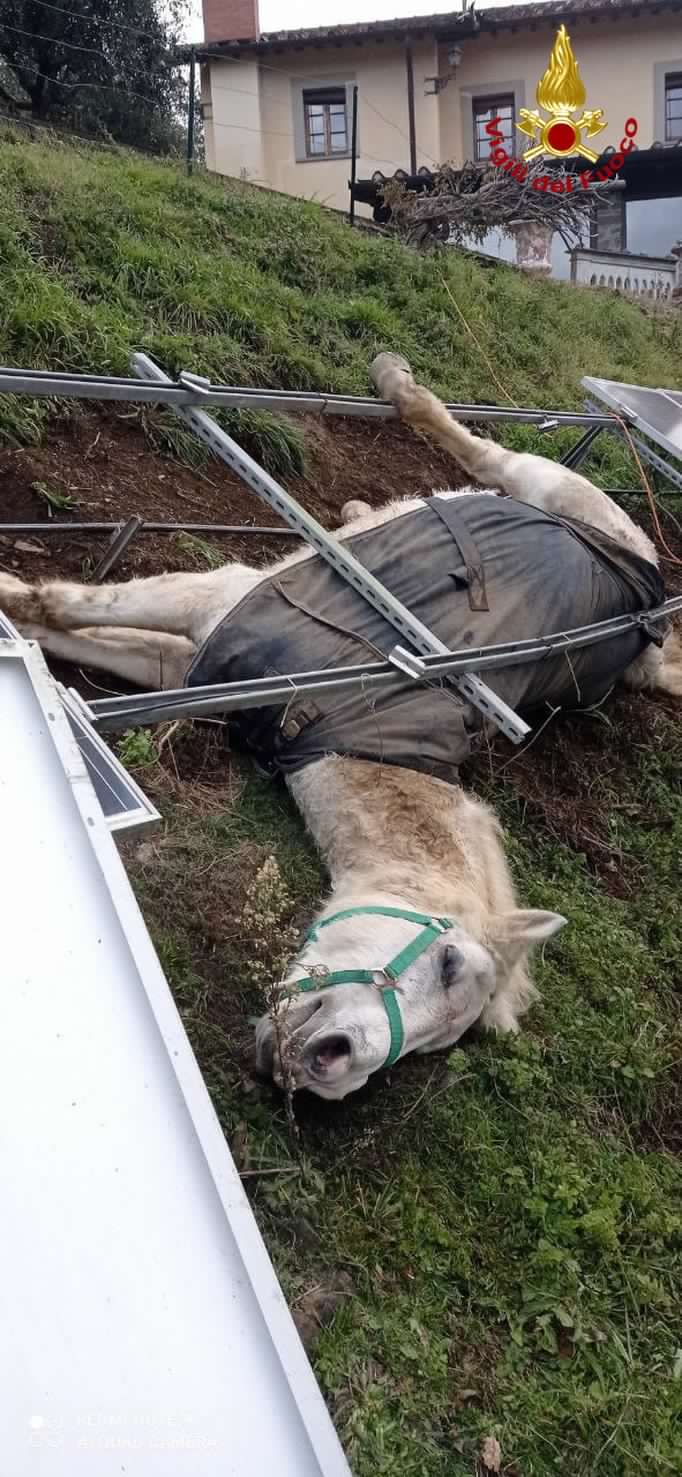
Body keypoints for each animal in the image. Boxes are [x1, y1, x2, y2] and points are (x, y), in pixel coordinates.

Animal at [2, 357, 679, 1098]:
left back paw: (362, 508)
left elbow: (79, 633)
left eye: (430, 1047)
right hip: (550, 484)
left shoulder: (190, 661)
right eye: (447, 962)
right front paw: (11, 595)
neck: (366, 708)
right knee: (476, 446)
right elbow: (60, 603)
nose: (331, 1062)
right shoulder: (222, 597)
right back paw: (395, 385)